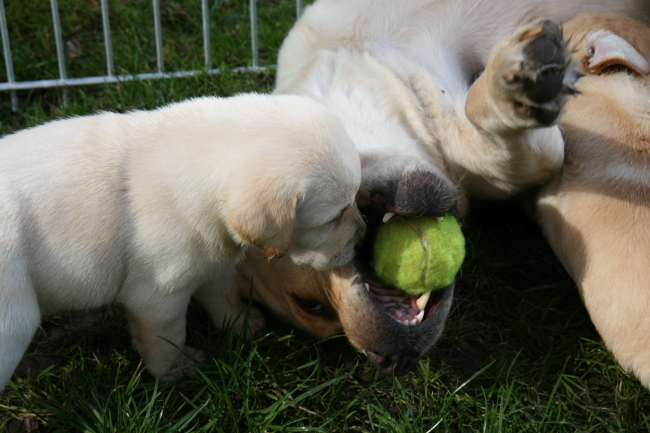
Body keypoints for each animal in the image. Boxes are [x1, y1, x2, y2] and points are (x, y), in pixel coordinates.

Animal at [0, 93, 364, 390]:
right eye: (333, 218)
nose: (363, 233)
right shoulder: (158, 296)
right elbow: (167, 338)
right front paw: (176, 371)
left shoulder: (211, 265)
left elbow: (223, 298)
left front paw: (243, 325)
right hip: (15, 319)